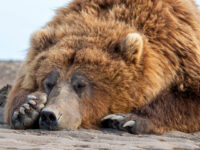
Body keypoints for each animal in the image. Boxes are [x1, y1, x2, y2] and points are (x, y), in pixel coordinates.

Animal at [3, 0, 200, 134]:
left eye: (81, 84)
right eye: (49, 83)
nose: (49, 115)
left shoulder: (182, 53)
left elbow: (190, 99)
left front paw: (126, 118)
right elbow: (20, 89)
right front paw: (27, 108)